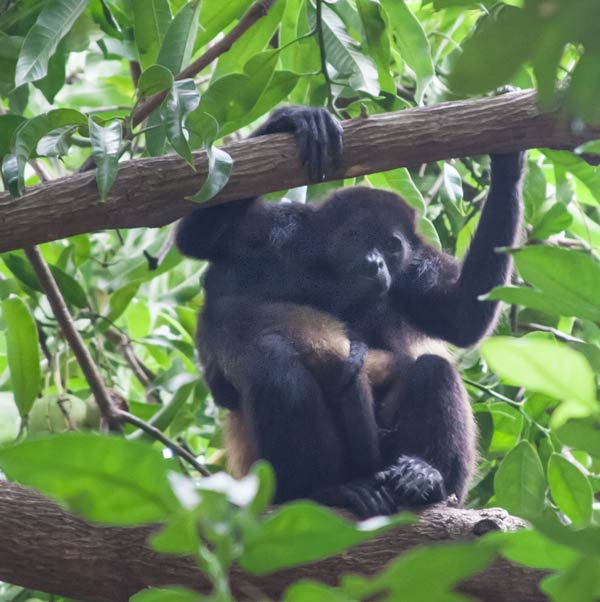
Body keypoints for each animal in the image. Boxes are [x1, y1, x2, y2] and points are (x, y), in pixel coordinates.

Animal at [176, 105, 524, 512]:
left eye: (391, 246)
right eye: (357, 236)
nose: (376, 263)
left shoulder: (413, 270)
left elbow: (463, 317)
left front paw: (508, 162)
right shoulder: (275, 236)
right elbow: (196, 238)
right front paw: (293, 120)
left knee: (433, 370)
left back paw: (427, 479)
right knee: (275, 369)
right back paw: (321, 490)